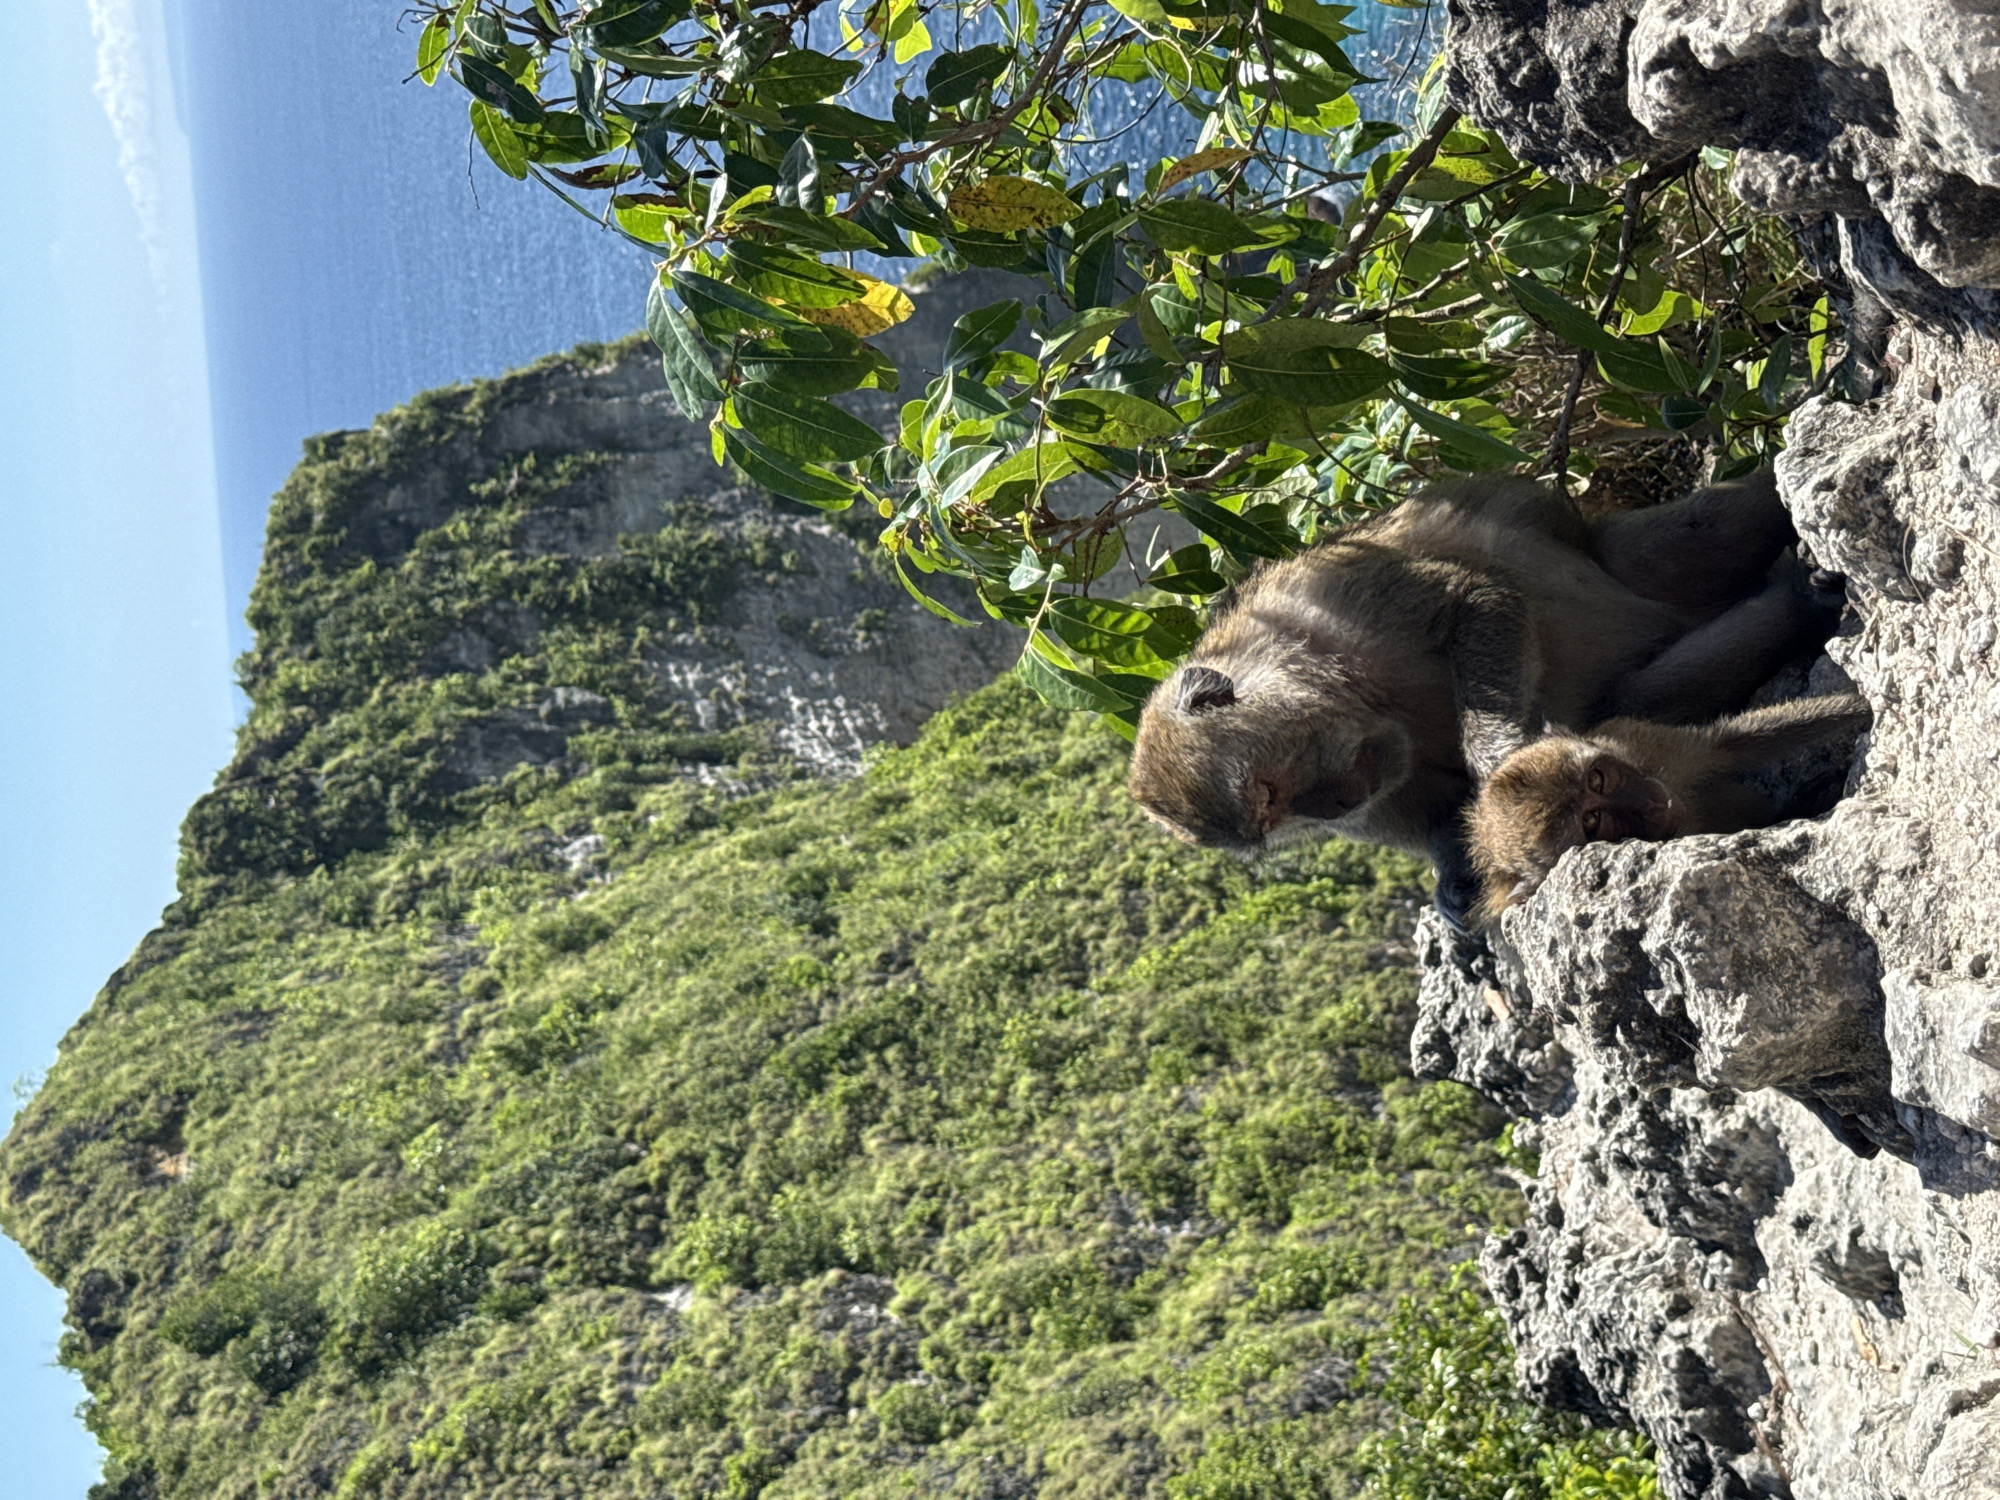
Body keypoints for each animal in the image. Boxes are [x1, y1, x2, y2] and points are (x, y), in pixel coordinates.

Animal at [1465, 691, 1873, 923]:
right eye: (1591, 821)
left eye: (1597, 780)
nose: (1649, 802)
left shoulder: (1639, 741)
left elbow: (1729, 743)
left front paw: (1865, 708)